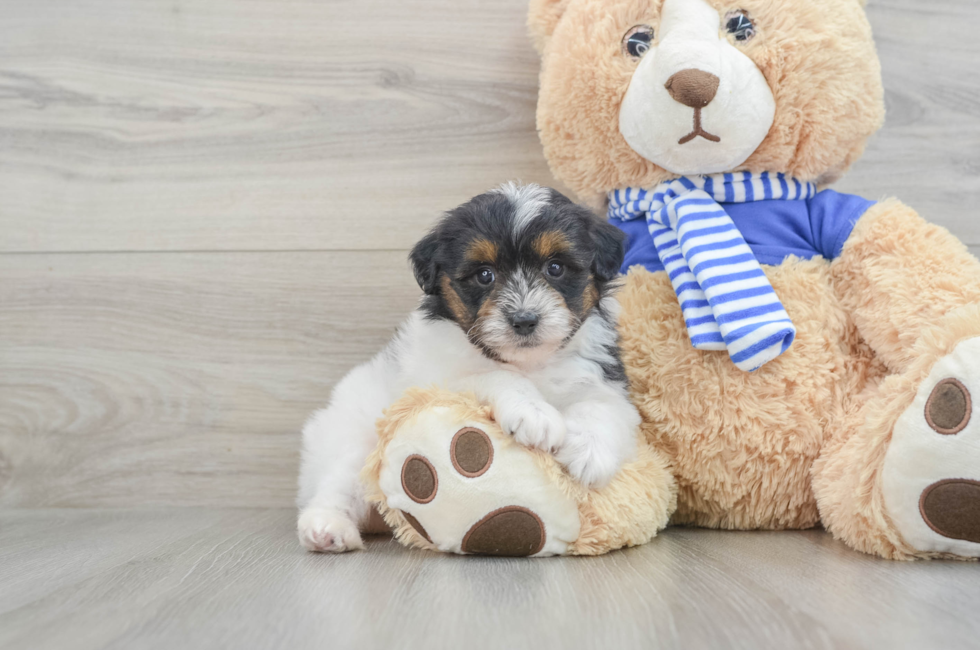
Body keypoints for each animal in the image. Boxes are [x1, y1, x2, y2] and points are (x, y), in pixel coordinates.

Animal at [294, 182, 644, 552]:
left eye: (555, 268)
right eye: (484, 275)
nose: (524, 320)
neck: (530, 363)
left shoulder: (605, 379)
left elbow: (602, 406)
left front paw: (590, 453)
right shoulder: (437, 379)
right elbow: (494, 376)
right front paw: (534, 413)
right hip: (351, 438)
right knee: (337, 486)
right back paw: (326, 528)